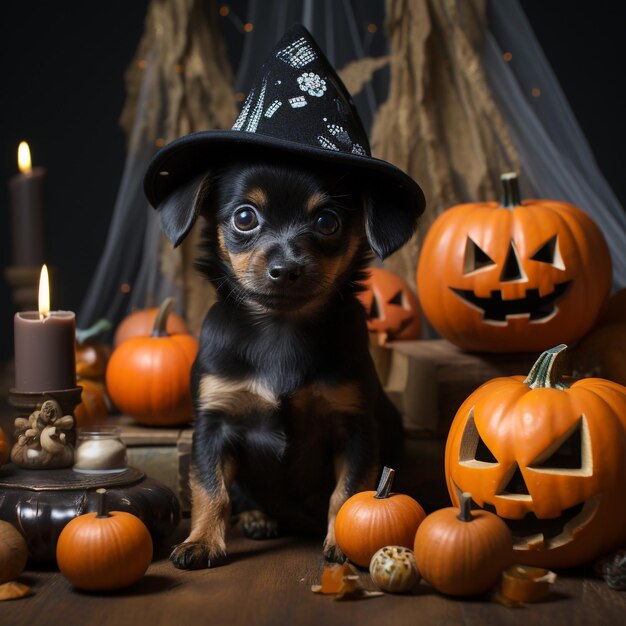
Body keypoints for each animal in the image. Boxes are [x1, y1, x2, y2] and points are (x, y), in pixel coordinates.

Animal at [155, 155, 416, 564]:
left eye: (327, 222)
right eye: (245, 217)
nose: (287, 269)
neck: (280, 327)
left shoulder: (355, 427)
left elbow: (347, 491)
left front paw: (343, 540)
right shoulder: (214, 426)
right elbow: (211, 490)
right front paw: (202, 542)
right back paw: (257, 517)